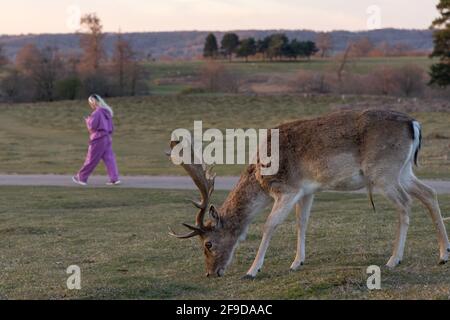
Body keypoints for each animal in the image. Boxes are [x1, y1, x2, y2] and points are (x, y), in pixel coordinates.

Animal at [168, 109, 450, 278]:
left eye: (208, 243)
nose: (210, 273)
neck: (260, 176)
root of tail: (414, 124)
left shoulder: (287, 188)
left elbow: (270, 224)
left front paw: (252, 270)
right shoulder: (307, 191)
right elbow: (301, 222)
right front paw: (297, 262)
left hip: (384, 172)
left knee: (405, 203)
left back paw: (394, 260)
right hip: (403, 171)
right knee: (429, 193)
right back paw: (443, 255)